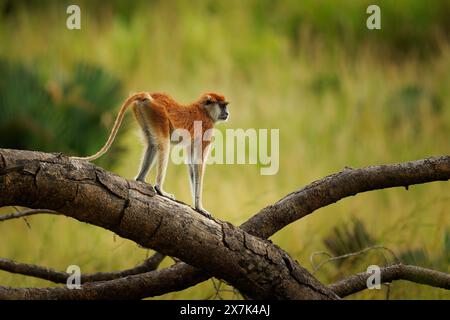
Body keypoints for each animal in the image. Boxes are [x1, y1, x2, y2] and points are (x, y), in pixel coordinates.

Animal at [73, 91, 230, 219]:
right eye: (222, 106)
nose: (227, 113)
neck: (204, 110)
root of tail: (150, 96)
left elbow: (192, 164)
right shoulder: (207, 127)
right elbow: (198, 162)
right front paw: (199, 207)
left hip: (146, 113)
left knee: (152, 145)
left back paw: (140, 179)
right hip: (158, 114)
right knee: (164, 145)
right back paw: (159, 189)